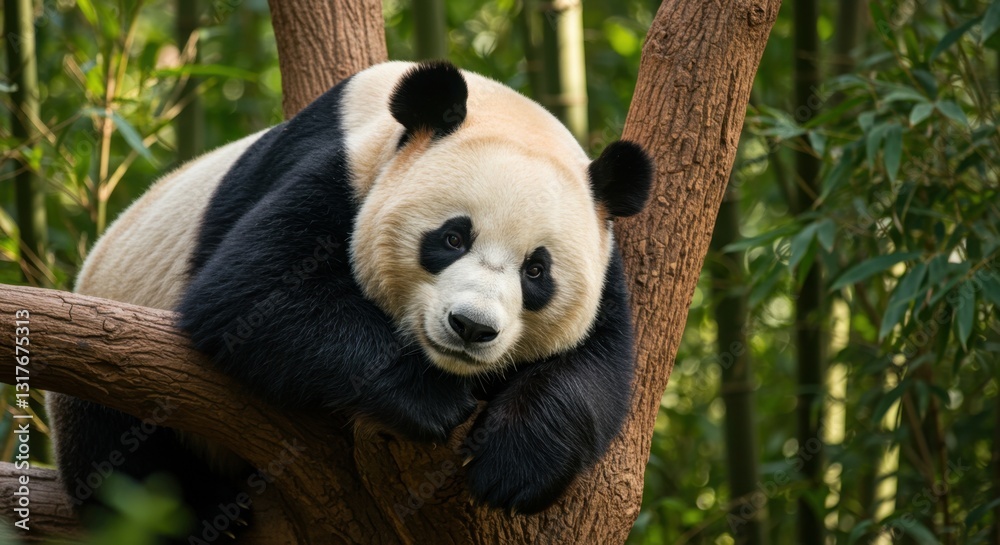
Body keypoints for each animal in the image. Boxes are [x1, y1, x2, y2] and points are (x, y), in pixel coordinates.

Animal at [47, 61, 653, 533]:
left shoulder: (605, 260)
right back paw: (200, 514)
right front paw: (430, 400)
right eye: (453, 238)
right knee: (121, 453)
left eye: (536, 271)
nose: (472, 327)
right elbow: (251, 295)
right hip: (117, 333)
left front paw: (516, 465)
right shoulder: (341, 169)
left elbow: (596, 368)